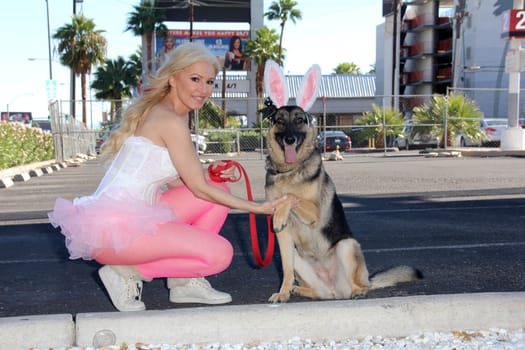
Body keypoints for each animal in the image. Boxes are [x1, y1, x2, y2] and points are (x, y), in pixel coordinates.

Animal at [262, 60, 422, 304]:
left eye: (299, 120)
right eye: (279, 121)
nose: (289, 139)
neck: (290, 170)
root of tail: (336, 289)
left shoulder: (314, 213)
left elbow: (290, 196)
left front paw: (282, 209)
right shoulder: (284, 239)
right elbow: (286, 271)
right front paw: (283, 292)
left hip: (347, 245)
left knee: (358, 285)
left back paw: (358, 291)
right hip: (300, 258)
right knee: (319, 291)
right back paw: (301, 290)